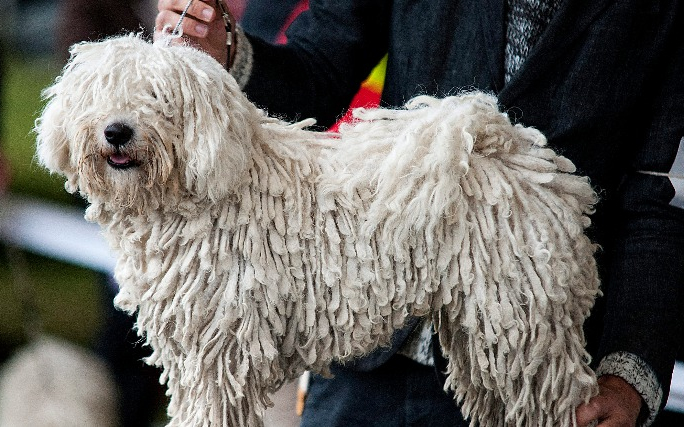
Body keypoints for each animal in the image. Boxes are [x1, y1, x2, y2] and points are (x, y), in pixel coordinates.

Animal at [37, 35, 600, 426]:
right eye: (101, 95)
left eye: (157, 97)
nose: (116, 131)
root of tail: (513, 152)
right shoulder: (191, 351)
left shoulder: (221, 350)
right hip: (487, 334)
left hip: (522, 320)